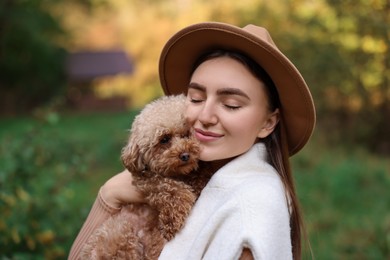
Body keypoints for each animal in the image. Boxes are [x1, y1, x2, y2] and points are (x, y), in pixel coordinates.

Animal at [80, 94, 212, 258]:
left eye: (187, 134)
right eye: (164, 139)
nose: (185, 155)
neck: (178, 174)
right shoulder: (146, 180)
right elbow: (170, 189)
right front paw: (171, 220)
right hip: (120, 232)